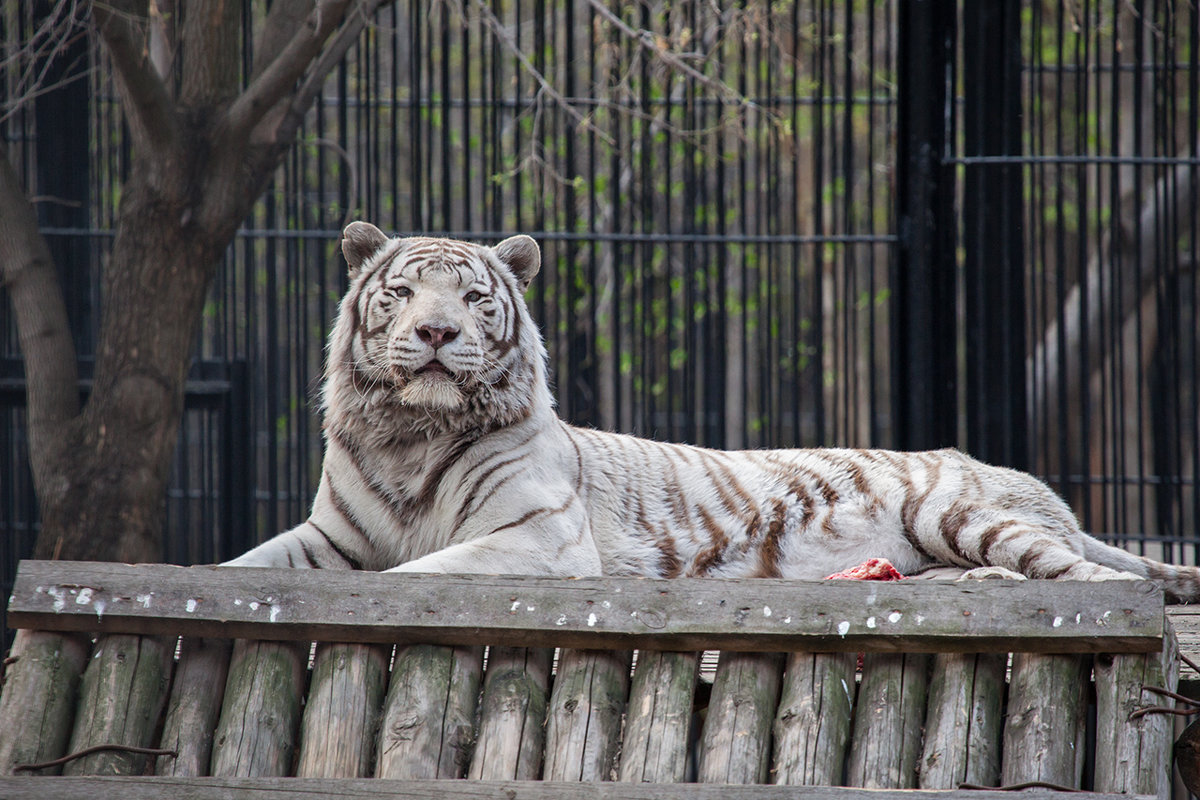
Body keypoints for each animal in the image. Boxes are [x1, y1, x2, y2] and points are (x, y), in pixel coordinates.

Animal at [226, 219, 1200, 599]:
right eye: (402, 293)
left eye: (470, 297)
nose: (434, 332)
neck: (409, 437)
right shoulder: (329, 536)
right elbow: (239, 566)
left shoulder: (537, 538)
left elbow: (416, 573)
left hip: (960, 511)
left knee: (1100, 581)